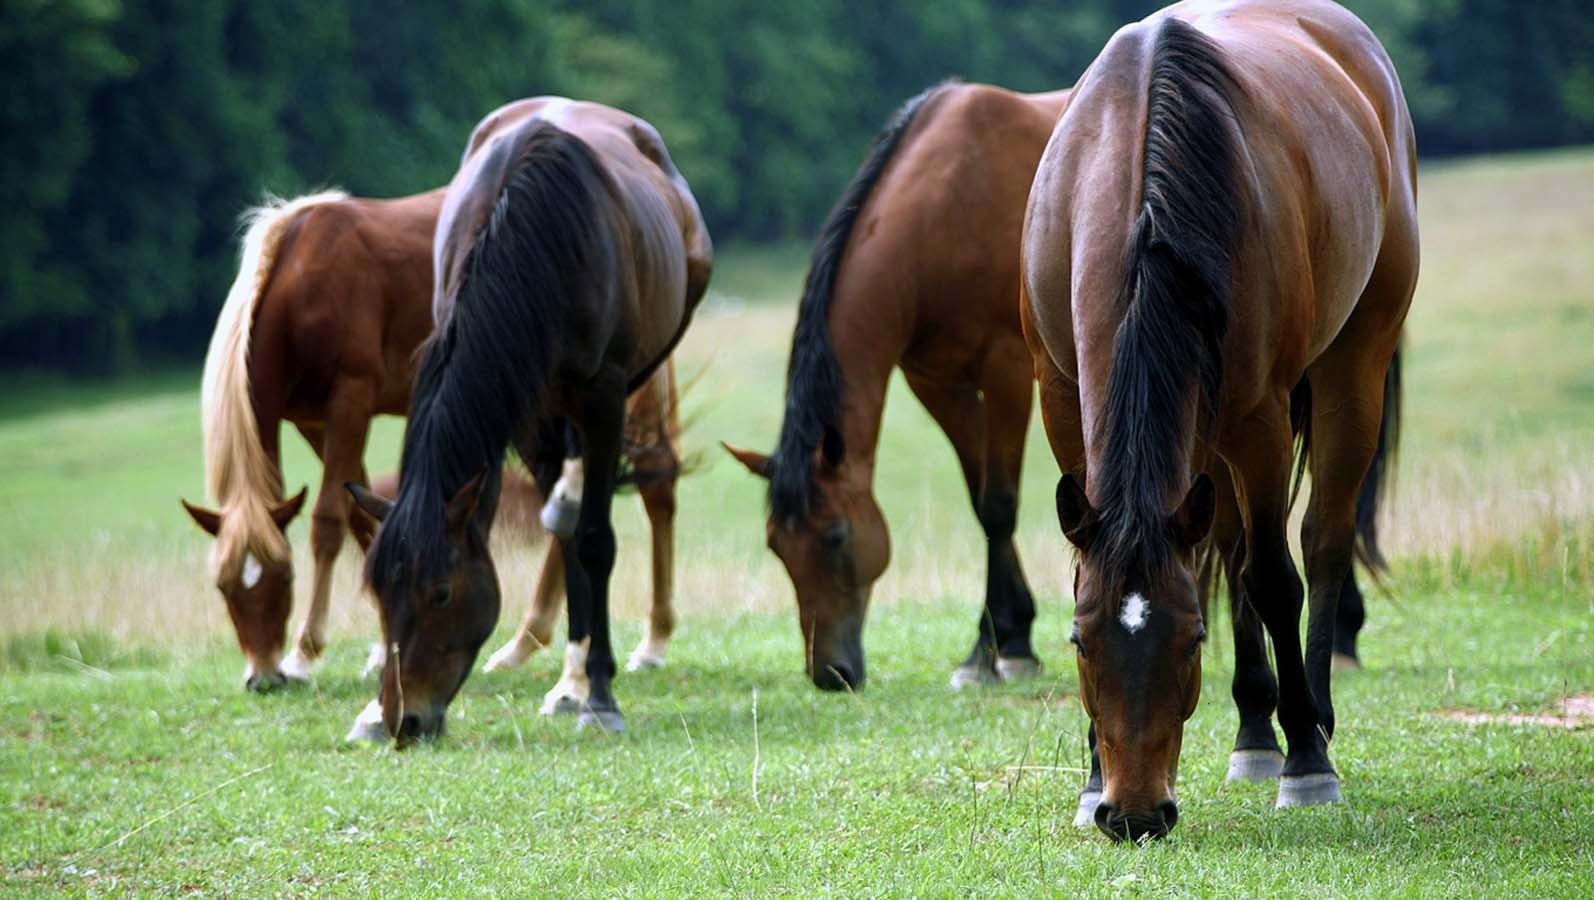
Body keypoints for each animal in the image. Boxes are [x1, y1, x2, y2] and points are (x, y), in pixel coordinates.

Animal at [182, 189, 684, 693]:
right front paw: (383, 645)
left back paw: (651, 643)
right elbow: (366, 518)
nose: (263, 676)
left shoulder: (350, 401)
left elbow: (329, 522)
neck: (299, 279)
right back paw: (527, 642)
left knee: (653, 485)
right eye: (223, 586)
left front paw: (305, 654)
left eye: (284, 578)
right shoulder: (314, 422)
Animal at [347, 97, 711, 744]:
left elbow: (594, 540)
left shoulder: (603, 396)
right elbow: (567, 540)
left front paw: (600, 697)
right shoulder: (520, 406)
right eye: (379, 593)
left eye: (441, 593)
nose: (403, 719)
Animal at [724, 82, 1071, 692]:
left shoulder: (1006, 370)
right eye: (776, 546)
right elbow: (980, 501)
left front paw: (993, 652)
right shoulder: (938, 383)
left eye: (836, 536)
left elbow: (999, 505)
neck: (947, 210)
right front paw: (1008, 638)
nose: (830, 673)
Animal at [1021, 0, 1417, 840]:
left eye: (1191, 637)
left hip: (1351, 369)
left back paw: (1310, 721)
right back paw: (1254, 732)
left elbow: (1273, 579)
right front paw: (1091, 778)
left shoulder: (1260, 419)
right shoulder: (1062, 399)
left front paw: (1307, 762)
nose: (1135, 815)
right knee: (1231, 547)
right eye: (1079, 639)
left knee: (1321, 540)